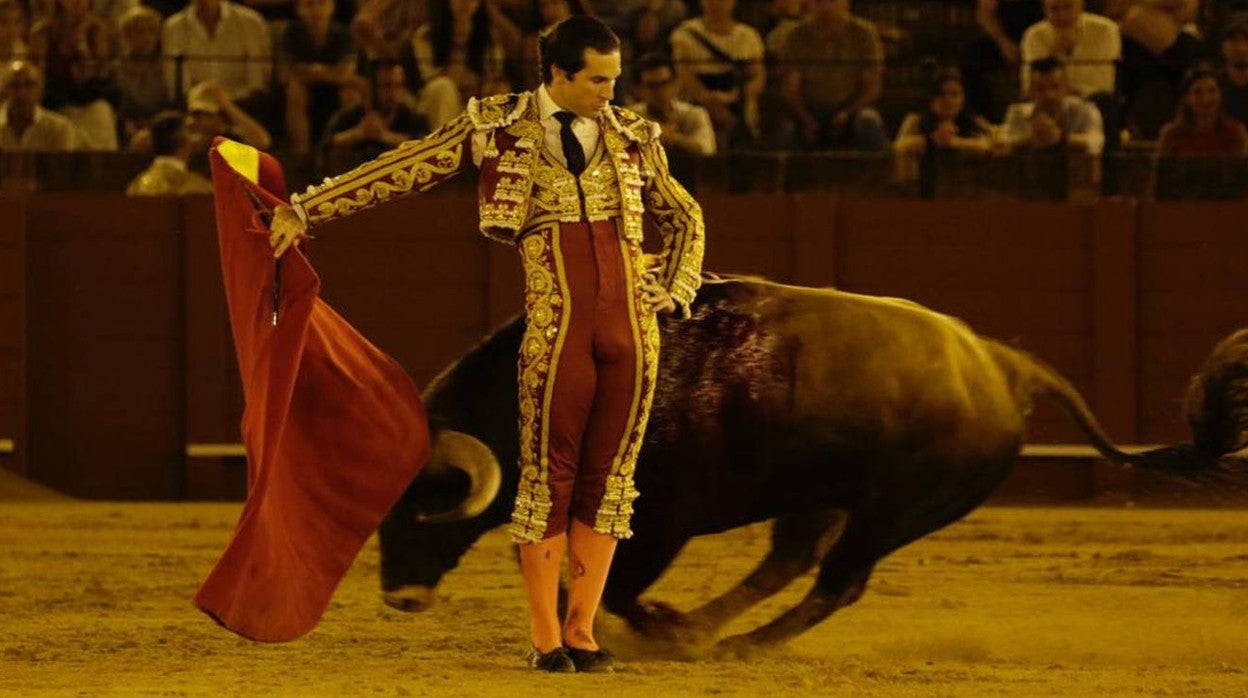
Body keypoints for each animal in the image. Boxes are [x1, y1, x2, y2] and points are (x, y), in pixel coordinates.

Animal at [374, 274, 1233, 654]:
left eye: (424, 504)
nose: (398, 599)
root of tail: (1003, 365)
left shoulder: (661, 521)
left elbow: (616, 585)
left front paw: (655, 626)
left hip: (895, 511)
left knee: (836, 581)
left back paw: (731, 643)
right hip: (821, 492)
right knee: (789, 561)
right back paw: (710, 629)